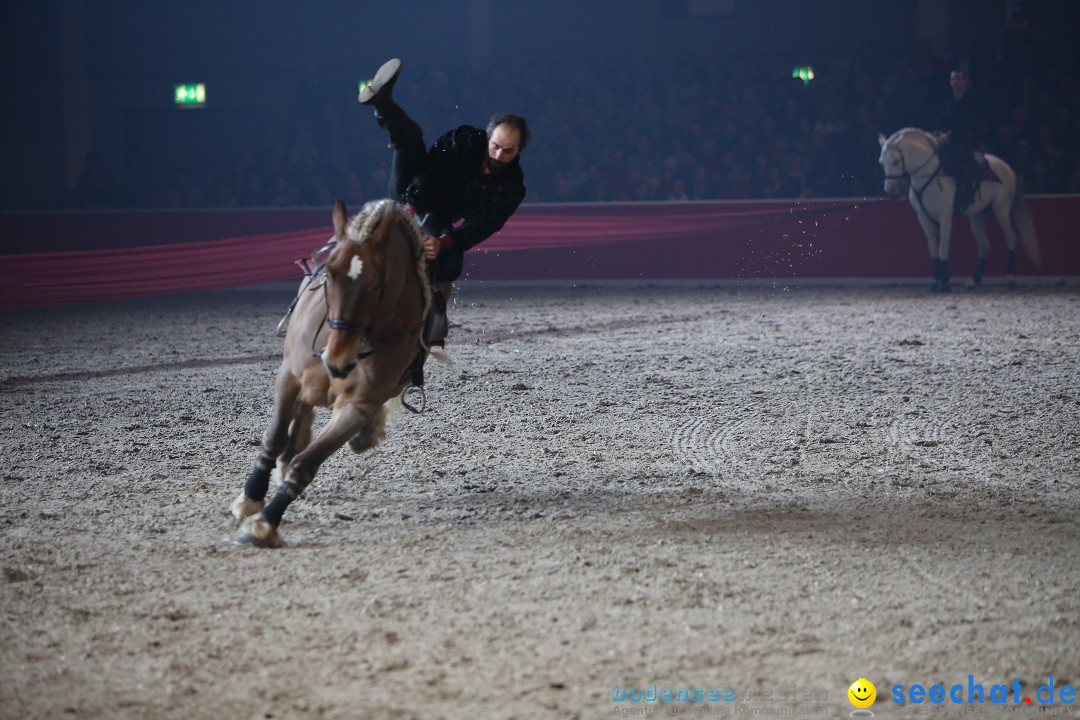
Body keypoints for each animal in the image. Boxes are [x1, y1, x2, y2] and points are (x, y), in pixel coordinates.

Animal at [231, 197, 429, 546]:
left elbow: (307, 463)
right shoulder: (289, 377)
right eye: (331, 275)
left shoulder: (357, 406)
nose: (336, 360)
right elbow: (274, 437)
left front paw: (264, 524)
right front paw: (251, 498)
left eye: (378, 285)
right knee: (300, 417)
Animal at [876, 127, 1036, 291]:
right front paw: (935, 282)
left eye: (895, 161)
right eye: (881, 163)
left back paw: (1010, 279)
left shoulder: (945, 216)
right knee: (983, 245)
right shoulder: (923, 218)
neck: (930, 175)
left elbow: (942, 248)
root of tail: (1007, 167)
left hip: (1001, 208)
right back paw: (974, 281)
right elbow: (933, 250)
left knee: (1010, 238)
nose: (890, 190)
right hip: (978, 215)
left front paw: (944, 284)